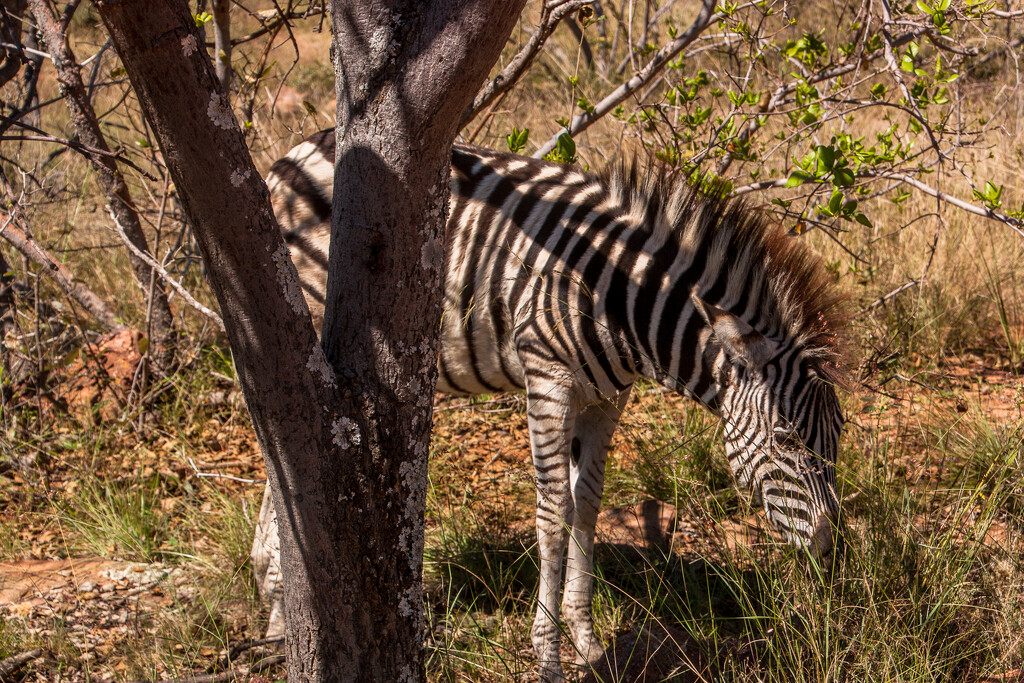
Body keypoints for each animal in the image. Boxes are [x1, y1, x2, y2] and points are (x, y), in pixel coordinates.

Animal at [250, 130, 847, 681]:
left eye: (838, 438)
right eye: (787, 439)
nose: (829, 550)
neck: (618, 302)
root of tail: (294, 154)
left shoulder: (607, 398)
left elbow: (587, 505)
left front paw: (585, 640)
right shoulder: (548, 381)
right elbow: (552, 516)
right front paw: (548, 656)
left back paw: (279, 608)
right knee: (286, 446)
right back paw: (280, 601)